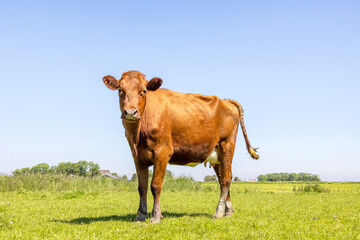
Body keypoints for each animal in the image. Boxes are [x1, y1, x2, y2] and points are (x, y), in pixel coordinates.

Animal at [103, 70, 258, 222]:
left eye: (144, 91)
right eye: (120, 90)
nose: (130, 112)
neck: (138, 135)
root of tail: (226, 100)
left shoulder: (162, 152)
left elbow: (155, 185)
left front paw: (155, 215)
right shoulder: (137, 156)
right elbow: (142, 187)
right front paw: (140, 215)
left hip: (226, 145)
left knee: (226, 179)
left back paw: (219, 212)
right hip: (216, 155)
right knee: (222, 179)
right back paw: (228, 211)